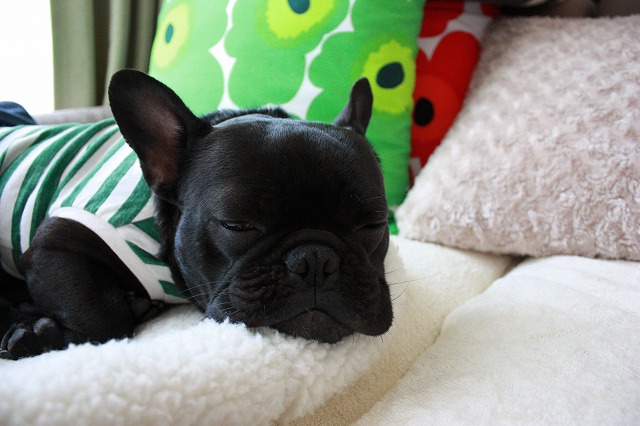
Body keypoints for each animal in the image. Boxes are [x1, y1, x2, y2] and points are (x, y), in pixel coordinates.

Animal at [0, 70, 392, 360]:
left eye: (373, 225)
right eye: (236, 224)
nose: (315, 260)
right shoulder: (59, 239)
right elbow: (103, 321)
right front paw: (44, 333)